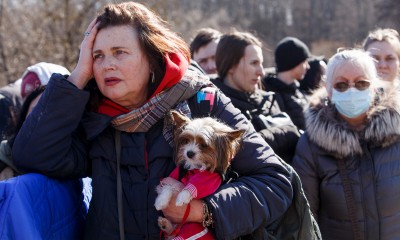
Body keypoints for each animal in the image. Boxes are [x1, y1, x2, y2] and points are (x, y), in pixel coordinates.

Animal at [155, 109, 244, 239]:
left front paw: (182, 198)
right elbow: (168, 186)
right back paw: (164, 224)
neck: (193, 169)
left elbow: (194, 186)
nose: (189, 153)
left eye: (204, 145)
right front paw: (160, 201)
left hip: (192, 226)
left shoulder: (209, 180)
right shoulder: (175, 176)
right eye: (186, 141)